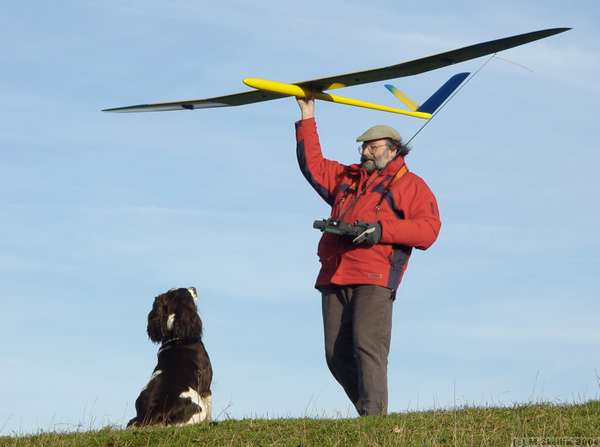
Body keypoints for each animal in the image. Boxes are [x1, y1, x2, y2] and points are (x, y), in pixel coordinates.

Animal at [127, 288, 213, 428]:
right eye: (187, 291)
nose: (194, 288)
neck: (176, 338)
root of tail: (155, 412)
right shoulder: (206, 387)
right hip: (199, 410)